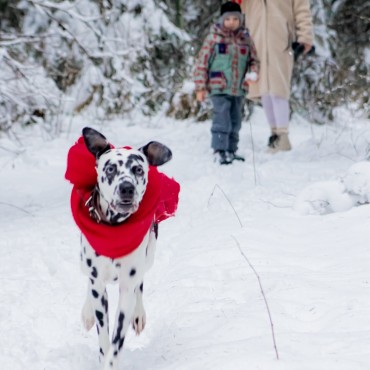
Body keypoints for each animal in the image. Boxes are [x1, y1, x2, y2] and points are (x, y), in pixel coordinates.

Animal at [79, 125, 172, 368]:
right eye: (111, 168)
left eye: (138, 169)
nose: (127, 188)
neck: (114, 229)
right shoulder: (98, 285)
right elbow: (103, 335)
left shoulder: (127, 286)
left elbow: (117, 338)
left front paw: (111, 362)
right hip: (84, 263)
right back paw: (87, 312)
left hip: (149, 256)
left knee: (140, 283)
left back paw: (138, 314)